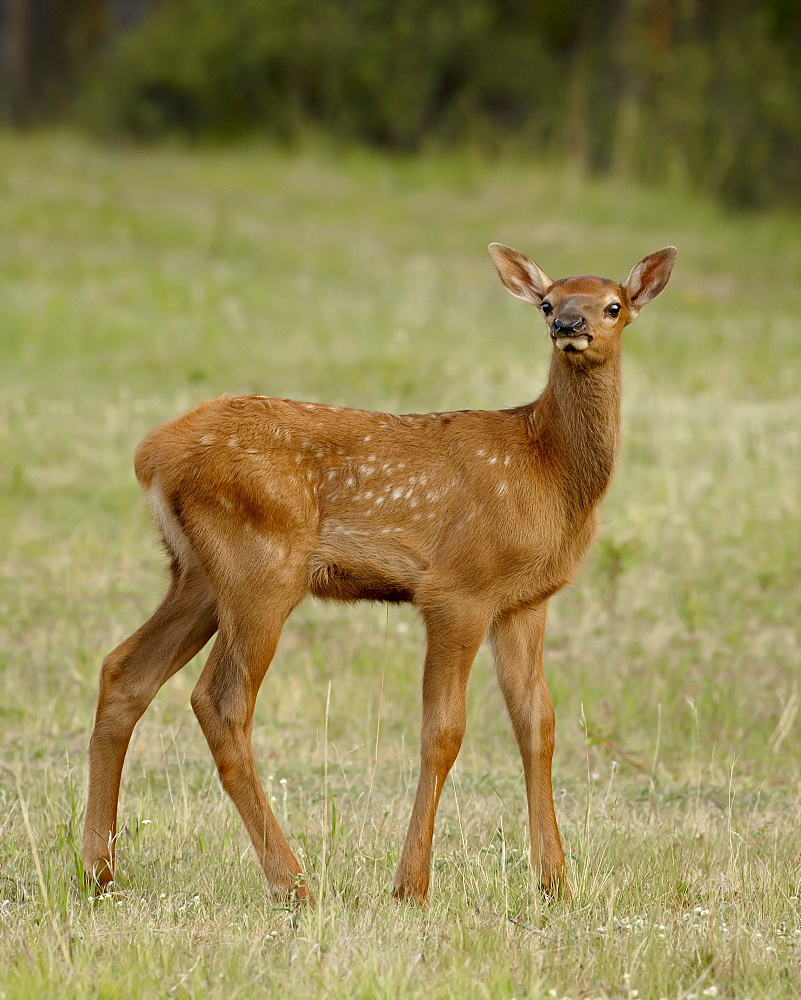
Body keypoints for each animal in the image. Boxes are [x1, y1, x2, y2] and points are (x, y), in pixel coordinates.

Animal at [84, 240, 676, 900]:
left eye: (613, 304)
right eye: (548, 301)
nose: (568, 326)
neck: (547, 469)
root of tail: (152, 453)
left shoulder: (525, 600)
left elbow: (538, 725)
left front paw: (556, 883)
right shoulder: (457, 589)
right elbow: (443, 732)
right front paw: (411, 886)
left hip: (198, 575)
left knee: (123, 671)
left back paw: (99, 871)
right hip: (261, 566)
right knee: (220, 701)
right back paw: (294, 884)